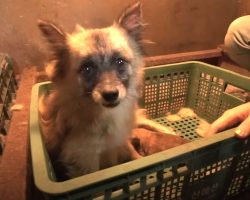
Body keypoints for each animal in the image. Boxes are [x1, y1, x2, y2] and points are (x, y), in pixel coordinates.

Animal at [38, 1, 174, 180]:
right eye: (87, 68)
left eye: (120, 61)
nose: (110, 95)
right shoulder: (85, 159)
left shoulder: (120, 140)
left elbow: (132, 153)